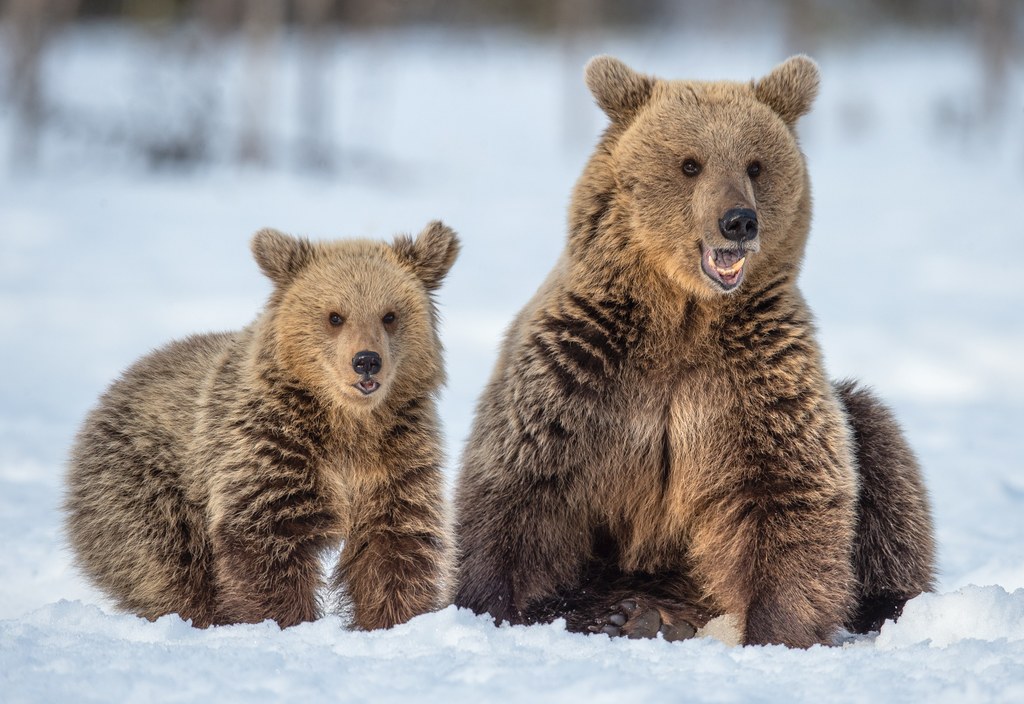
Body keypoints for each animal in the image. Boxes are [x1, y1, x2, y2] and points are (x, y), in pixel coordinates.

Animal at [65, 223, 460, 630]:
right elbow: (266, 539)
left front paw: (392, 620)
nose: (367, 361)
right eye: (335, 316)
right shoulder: (270, 449)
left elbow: (395, 544)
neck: (346, 423)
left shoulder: (395, 459)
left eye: (389, 315)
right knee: (167, 565)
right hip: (143, 484)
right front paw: (284, 621)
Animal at [456, 56, 937, 650]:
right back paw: (626, 616)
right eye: (690, 163)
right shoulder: (579, 368)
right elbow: (520, 487)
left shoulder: (756, 379)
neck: (683, 315)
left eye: (755, 164)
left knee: (878, 450)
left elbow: (786, 487)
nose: (739, 220)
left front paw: (777, 629)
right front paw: (490, 606)